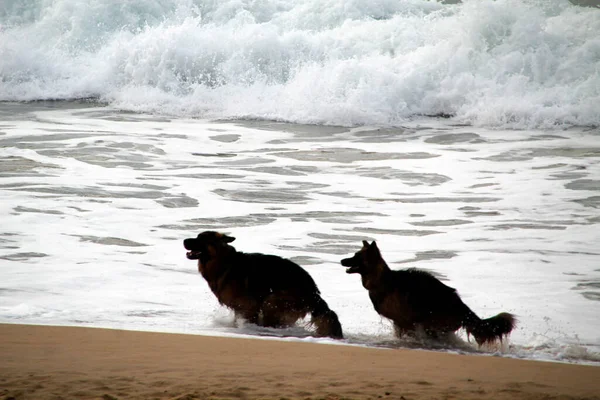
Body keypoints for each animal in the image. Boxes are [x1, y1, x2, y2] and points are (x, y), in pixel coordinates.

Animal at [183, 230, 342, 340]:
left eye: (201, 239)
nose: (184, 240)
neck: (224, 262)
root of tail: (314, 291)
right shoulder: (239, 308)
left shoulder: (249, 306)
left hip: (272, 301)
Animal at [342, 239, 516, 346]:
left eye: (356, 256)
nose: (341, 260)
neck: (382, 280)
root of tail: (461, 305)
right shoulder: (400, 322)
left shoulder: (405, 321)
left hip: (432, 323)